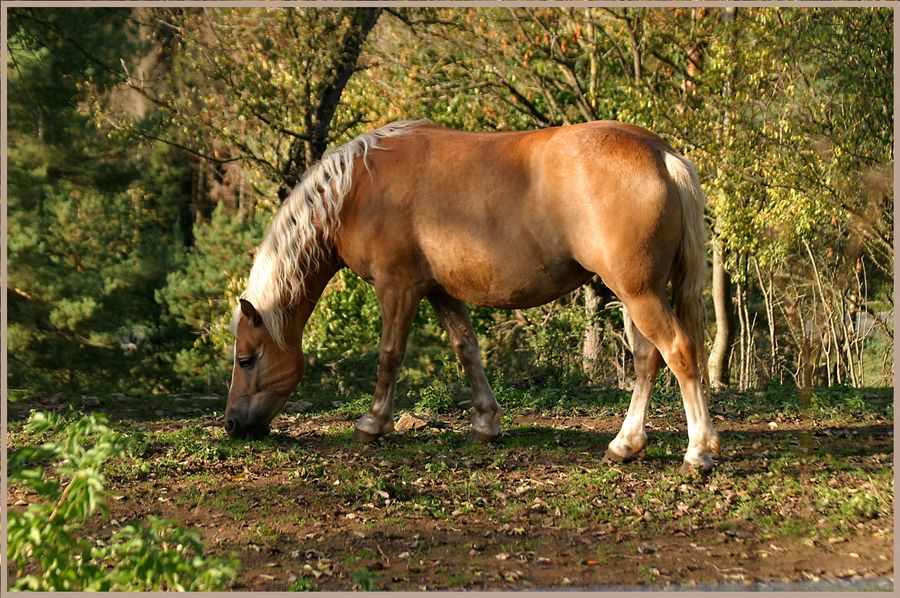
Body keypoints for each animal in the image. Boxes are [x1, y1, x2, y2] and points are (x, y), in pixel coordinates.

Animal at [229, 119, 720, 476]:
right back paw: (625, 444)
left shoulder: (397, 287)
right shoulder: (440, 292)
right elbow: (467, 351)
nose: (233, 424)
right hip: (638, 294)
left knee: (679, 351)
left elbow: (390, 355)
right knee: (647, 360)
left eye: (247, 360)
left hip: (638, 294)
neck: (358, 189)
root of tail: (660, 153)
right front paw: (485, 424)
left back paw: (698, 451)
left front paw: (373, 423)